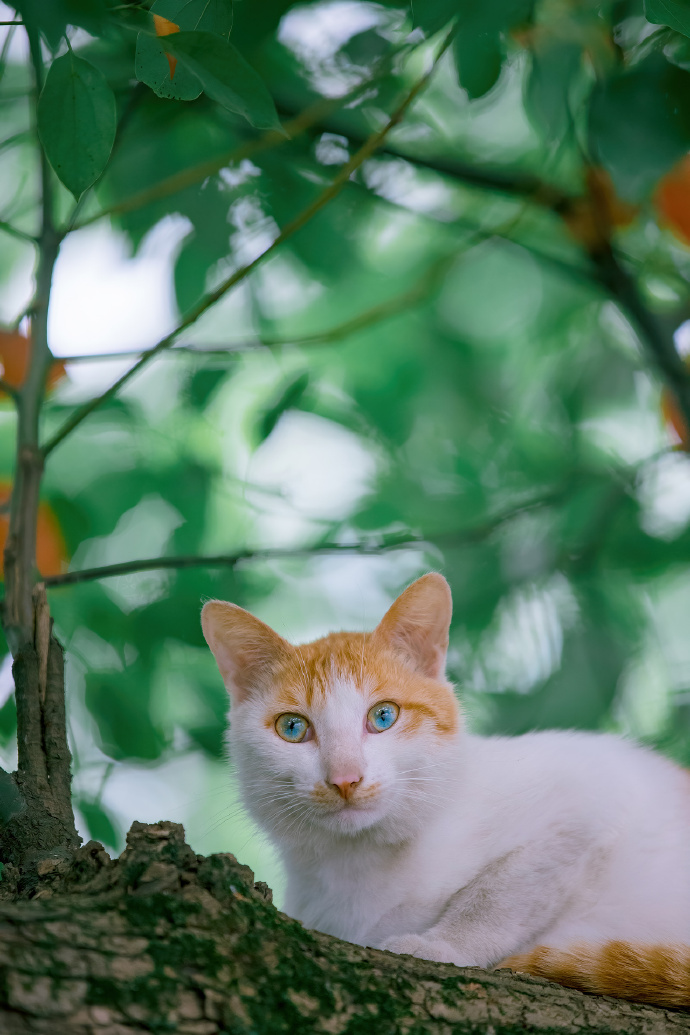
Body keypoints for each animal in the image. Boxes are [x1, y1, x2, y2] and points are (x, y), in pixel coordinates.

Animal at [202, 571, 690, 1006]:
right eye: (293, 728)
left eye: (383, 716)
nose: (344, 778)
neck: (360, 860)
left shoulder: (591, 793)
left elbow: (499, 893)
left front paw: (443, 946)